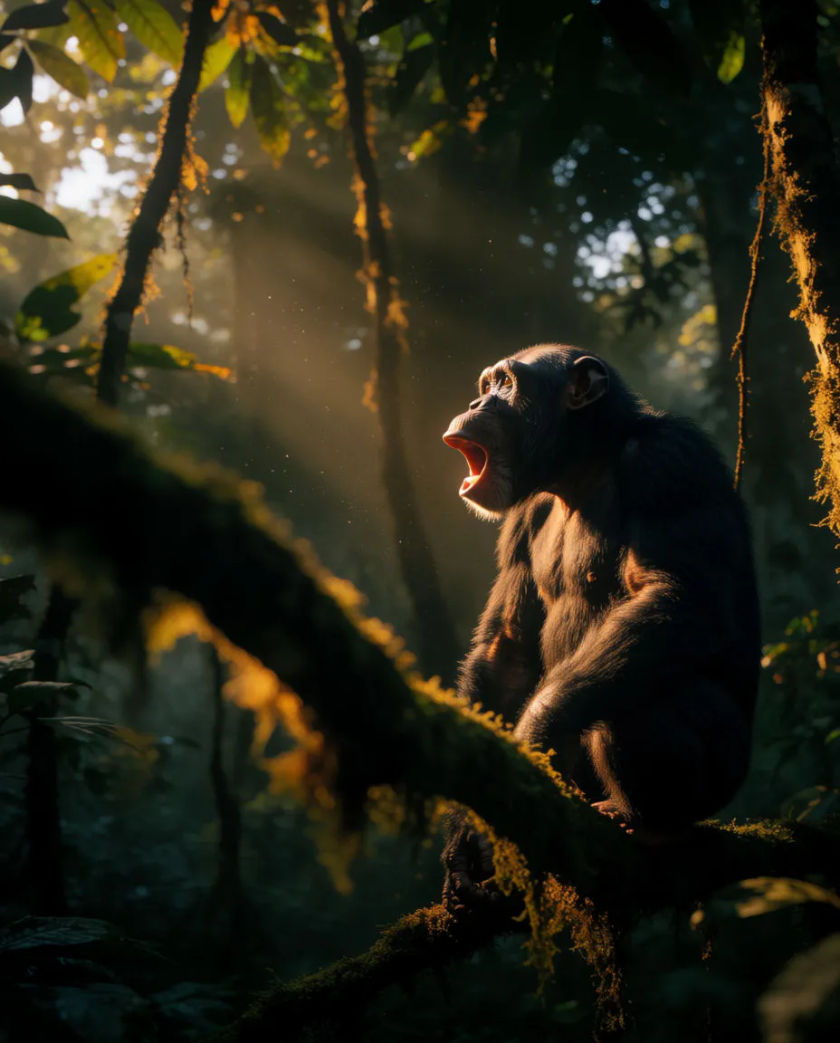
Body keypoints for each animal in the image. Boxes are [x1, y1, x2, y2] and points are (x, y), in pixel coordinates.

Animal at [441, 345, 760, 903]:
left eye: (506, 385)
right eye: (487, 384)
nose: (478, 401)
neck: (581, 470)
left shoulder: (671, 464)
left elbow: (676, 594)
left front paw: (534, 737)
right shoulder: (521, 519)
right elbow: (508, 649)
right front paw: (468, 832)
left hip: (722, 774)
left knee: (633, 706)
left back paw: (647, 822)